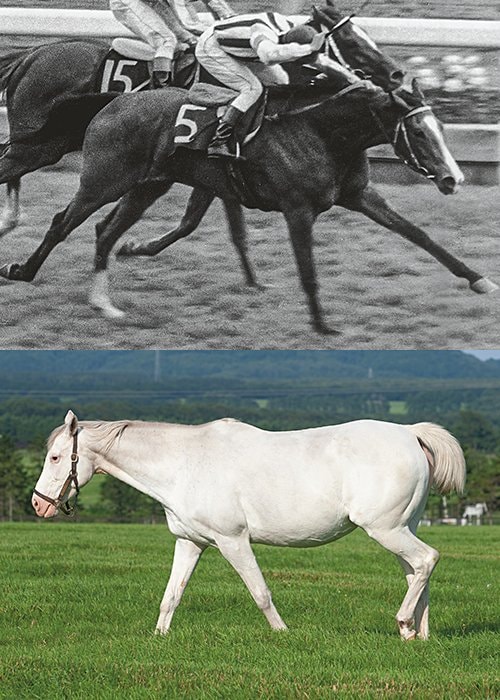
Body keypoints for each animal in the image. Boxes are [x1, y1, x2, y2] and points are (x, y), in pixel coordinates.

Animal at [0, 2, 403, 293]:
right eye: (351, 41)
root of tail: (30, 55)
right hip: (37, 144)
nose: (396, 74)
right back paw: (11, 228)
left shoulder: (203, 167)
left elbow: (197, 222)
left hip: (47, 141)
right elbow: (215, 223)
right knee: (11, 166)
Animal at [2, 78, 496, 333]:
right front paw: (322, 325)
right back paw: (21, 270)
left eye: (440, 129)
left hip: (148, 185)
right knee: (62, 222)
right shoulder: (298, 210)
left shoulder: (360, 196)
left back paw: (104, 303)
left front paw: (478, 279)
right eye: (418, 132)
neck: (319, 132)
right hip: (104, 180)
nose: (453, 179)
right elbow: (307, 269)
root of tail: (117, 99)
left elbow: (418, 234)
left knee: (105, 230)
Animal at [32, 410, 465, 640]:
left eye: (55, 457)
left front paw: (282, 634)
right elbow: (172, 595)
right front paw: (159, 637)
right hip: (401, 527)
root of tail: (409, 434)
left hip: (386, 529)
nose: (39, 504)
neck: (183, 464)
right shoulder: (190, 542)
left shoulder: (233, 541)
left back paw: (404, 623)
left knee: (426, 560)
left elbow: (260, 593)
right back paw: (417, 634)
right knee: (416, 572)